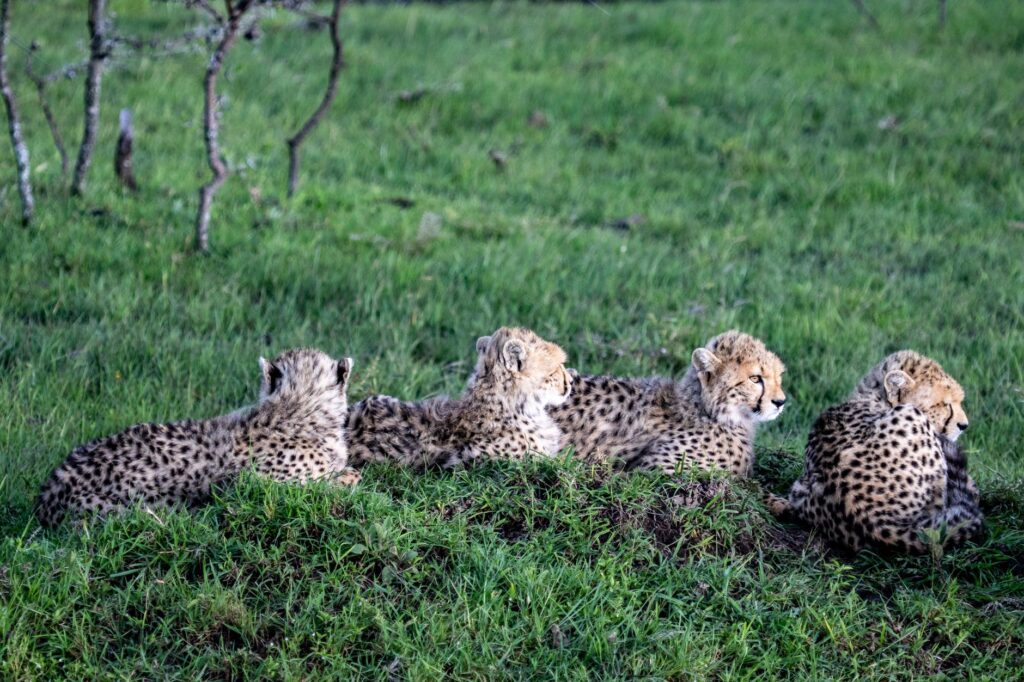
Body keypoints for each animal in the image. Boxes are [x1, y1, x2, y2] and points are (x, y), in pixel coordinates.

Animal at [768, 350, 983, 554]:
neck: (873, 397)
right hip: (912, 417)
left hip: (799, 490)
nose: (964, 425)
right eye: (945, 404)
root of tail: (872, 518)